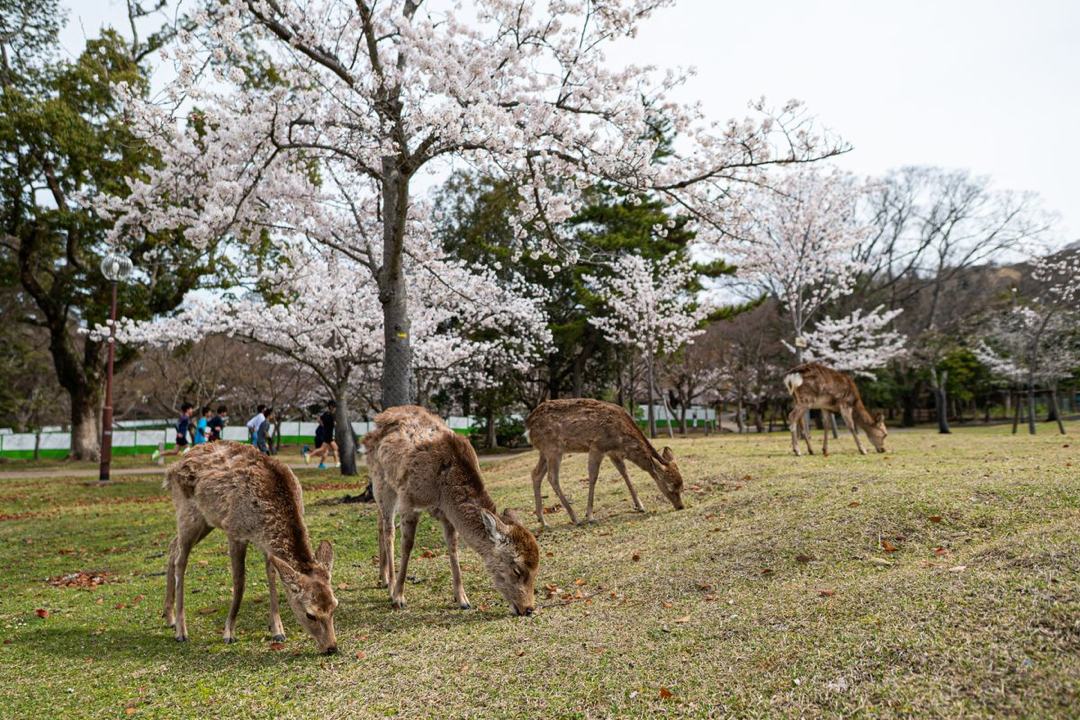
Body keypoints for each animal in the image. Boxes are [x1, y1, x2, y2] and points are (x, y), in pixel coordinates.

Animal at [163, 442, 339, 654]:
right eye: (310, 614)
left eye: (334, 607)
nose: (331, 647)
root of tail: (171, 470)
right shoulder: (234, 531)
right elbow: (240, 583)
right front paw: (229, 633)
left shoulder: (266, 545)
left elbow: (272, 575)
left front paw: (277, 630)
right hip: (188, 513)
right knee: (181, 560)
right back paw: (181, 630)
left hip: (206, 520)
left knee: (173, 546)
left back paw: (169, 617)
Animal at [363, 405, 540, 616]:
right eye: (517, 569)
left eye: (537, 568)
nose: (528, 608)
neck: (443, 492)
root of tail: (376, 423)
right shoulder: (409, 501)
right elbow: (407, 546)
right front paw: (399, 597)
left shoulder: (447, 515)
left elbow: (453, 547)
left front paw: (462, 599)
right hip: (381, 481)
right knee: (389, 530)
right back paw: (390, 585)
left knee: (380, 522)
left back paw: (383, 578)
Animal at [524, 398, 685, 528]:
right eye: (670, 487)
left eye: (682, 487)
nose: (681, 506)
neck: (622, 440)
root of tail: (528, 425)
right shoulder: (598, 446)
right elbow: (593, 477)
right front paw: (590, 516)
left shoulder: (612, 452)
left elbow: (625, 473)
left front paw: (640, 506)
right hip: (554, 448)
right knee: (552, 477)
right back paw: (575, 518)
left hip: (544, 451)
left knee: (535, 474)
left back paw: (543, 521)